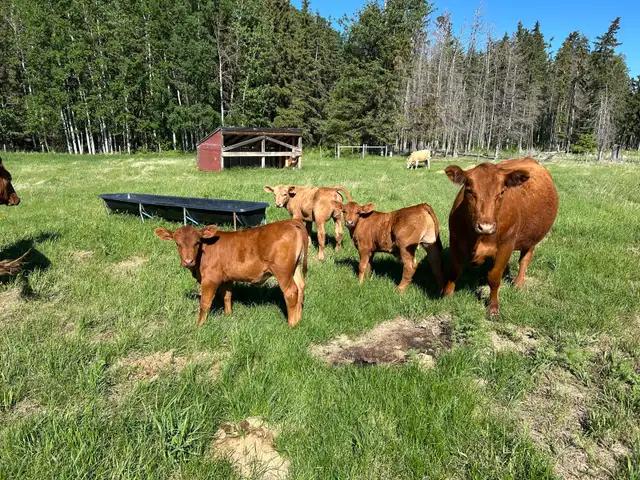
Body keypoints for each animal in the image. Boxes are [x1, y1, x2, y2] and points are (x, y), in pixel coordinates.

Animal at [154, 219, 309, 328]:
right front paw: (228, 316)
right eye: (177, 243)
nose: (188, 261)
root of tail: (290, 222)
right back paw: (299, 319)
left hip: (283, 272)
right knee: (301, 286)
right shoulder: (227, 278)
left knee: (291, 292)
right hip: (294, 268)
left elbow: (204, 303)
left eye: (197, 242)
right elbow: (227, 296)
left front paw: (199, 325)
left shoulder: (210, 279)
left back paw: (291, 324)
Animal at [444, 158, 559, 315]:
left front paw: (493, 307)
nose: (485, 226)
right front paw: (447, 295)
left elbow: (494, 276)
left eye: (501, 192)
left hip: (533, 237)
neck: (477, 239)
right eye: (469, 191)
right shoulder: (455, 240)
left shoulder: (506, 245)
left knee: (524, 259)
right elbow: (455, 270)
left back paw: (518, 284)